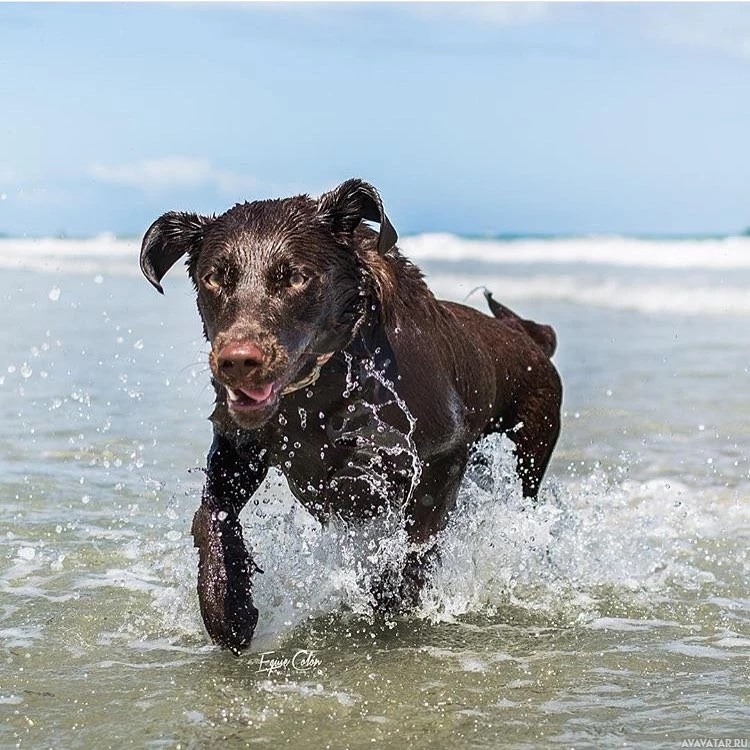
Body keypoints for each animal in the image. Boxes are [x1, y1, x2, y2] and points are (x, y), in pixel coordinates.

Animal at [142, 179, 564, 656]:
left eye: (295, 277)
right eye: (214, 277)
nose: (238, 362)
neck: (319, 387)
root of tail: (527, 337)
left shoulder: (444, 451)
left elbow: (415, 535)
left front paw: (393, 596)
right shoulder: (240, 446)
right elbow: (212, 515)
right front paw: (227, 606)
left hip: (532, 446)